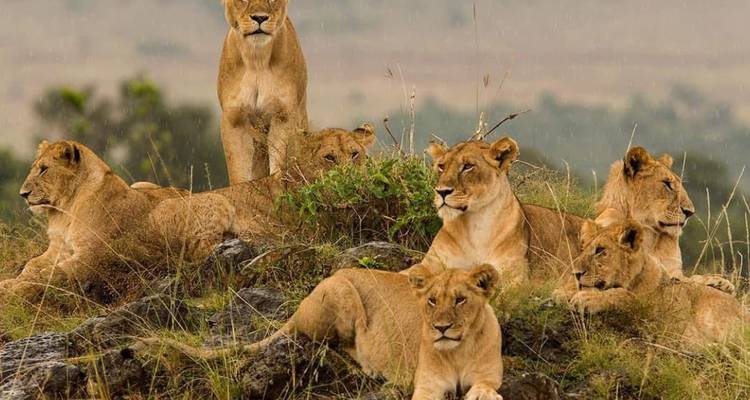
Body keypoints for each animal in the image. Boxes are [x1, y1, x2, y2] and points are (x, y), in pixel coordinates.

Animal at [137, 265, 504, 399]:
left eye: (461, 300)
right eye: (431, 300)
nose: (441, 327)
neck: (458, 350)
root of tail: (299, 307)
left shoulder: (487, 374)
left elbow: (485, 388)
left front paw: (482, 395)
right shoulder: (427, 385)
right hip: (344, 292)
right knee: (339, 345)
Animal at [219, 0, 308, 183]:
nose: (260, 18)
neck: (256, 60)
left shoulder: (283, 116)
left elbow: (278, 165)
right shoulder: (234, 120)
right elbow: (238, 172)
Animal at [413, 137, 583, 288]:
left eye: (468, 166)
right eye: (441, 167)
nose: (441, 191)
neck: (475, 223)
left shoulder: (515, 279)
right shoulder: (429, 264)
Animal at [558, 216, 749, 346]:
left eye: (600, 250)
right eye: (583, 249)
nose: (576, 273)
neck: (634, 279)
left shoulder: (651, 317)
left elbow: (625, 295)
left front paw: (587, 298)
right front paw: (566, 294)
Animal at [598, 146, 734, 293]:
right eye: (667, 184)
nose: (690, 212)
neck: (651, 238)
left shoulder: (674, 269)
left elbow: (691, 277)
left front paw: (722, 282)